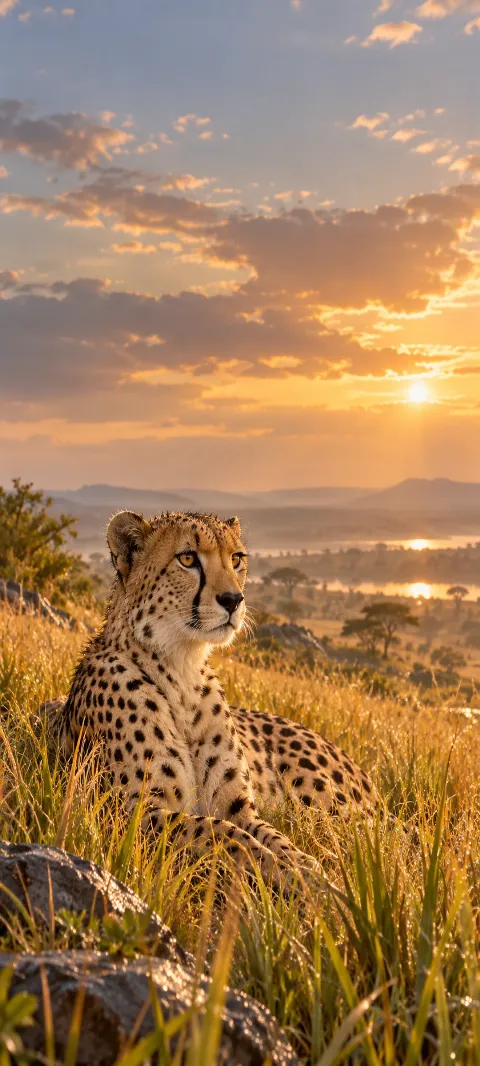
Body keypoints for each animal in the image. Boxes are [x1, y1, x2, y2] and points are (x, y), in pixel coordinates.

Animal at [43, 508, 377, 888]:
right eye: (188, 558)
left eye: (236, 559)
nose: (233, 600)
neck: (182, 670)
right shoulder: (129, 815)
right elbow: (226, 836)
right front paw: (288, 876)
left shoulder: (239, 806)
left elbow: (273, 838)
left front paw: (309, 872)